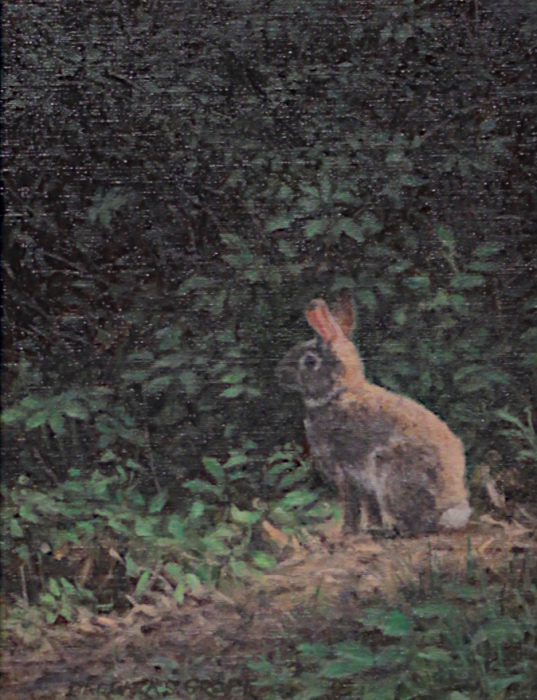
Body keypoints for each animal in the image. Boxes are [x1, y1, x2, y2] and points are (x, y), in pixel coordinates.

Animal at [276, 294, 472, 536]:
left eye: (310, 361)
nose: (278, 374)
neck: (338, 393)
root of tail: (451, 510)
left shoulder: (346, 471)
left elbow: (351, 504)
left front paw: (347, 532)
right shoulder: (363, 480)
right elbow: (371, 506)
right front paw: (371, 526)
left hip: (391, 473)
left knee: (419, 526)